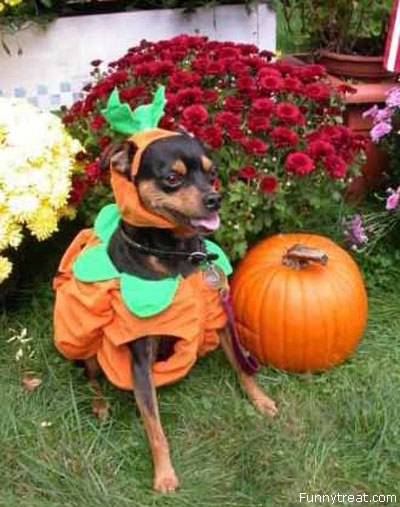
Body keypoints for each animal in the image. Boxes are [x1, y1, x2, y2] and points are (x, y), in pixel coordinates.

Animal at [54, 129, 278, 494]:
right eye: (173, 178)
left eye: (212, 173)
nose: (215, 198)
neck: (176, 253)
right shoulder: (139, 357)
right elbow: (155, 427)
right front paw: (164, 474)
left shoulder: (221, 319)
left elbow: (243, 368)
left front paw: (260, 401)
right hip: (85, 341)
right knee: (90, 376)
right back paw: (100, 405)